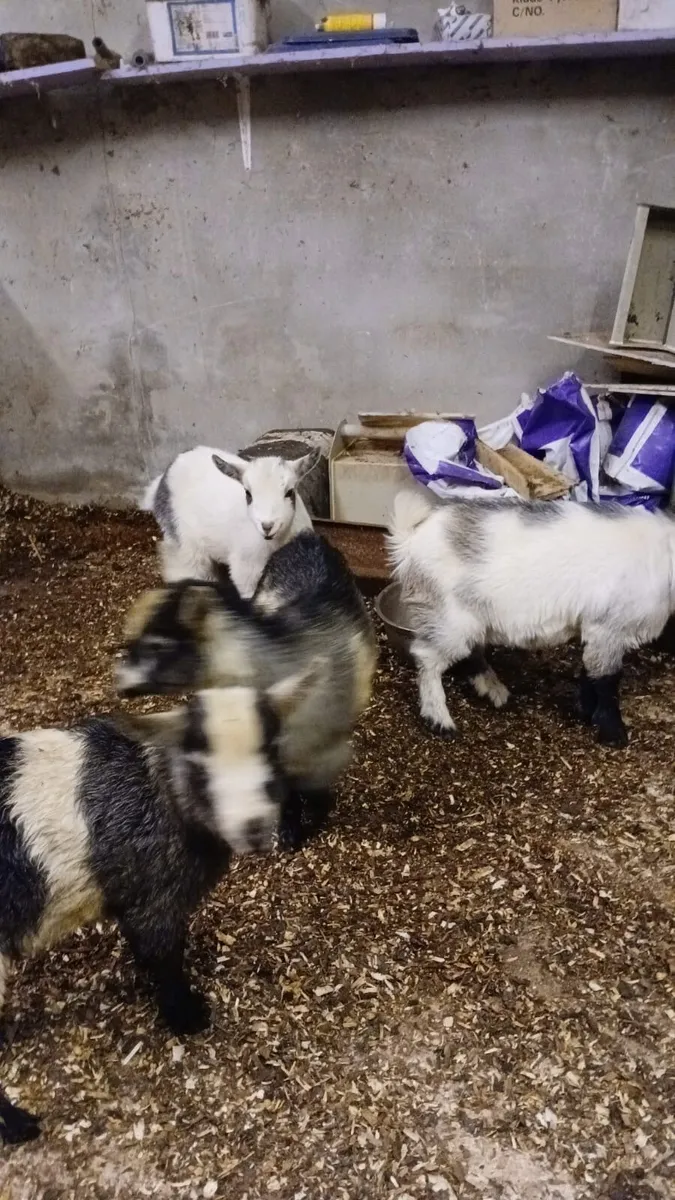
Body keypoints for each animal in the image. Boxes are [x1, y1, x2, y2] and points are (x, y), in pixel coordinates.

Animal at [0, 675, 311, 1143]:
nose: (255, 828)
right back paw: (19, 1127)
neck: (161, 792)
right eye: (200, 764)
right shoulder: (156, 899)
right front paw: (188, 1016)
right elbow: (164, 957)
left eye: (270, 751)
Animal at [116, 532, 378, 849]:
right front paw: (288, 829)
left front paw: (305, 826)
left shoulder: (323, 754)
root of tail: (310, 537)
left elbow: (316, 796)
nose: (120, 682)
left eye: (158, 646)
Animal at [141, 445, 320, 598]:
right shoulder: (246, 571)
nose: (267, 526)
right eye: (248, 493)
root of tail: (162, 481)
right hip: (186, 550)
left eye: (289, 492)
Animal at [388, 489, 675, 747]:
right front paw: (613, 733)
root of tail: (410, 542)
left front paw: (584, 712)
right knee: (427, 658)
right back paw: (440, 719)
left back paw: (493, 690)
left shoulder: (597, 632)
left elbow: (589, 671)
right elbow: (607, 680)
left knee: (471, 652)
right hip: (448, 619)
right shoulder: (607, 629)